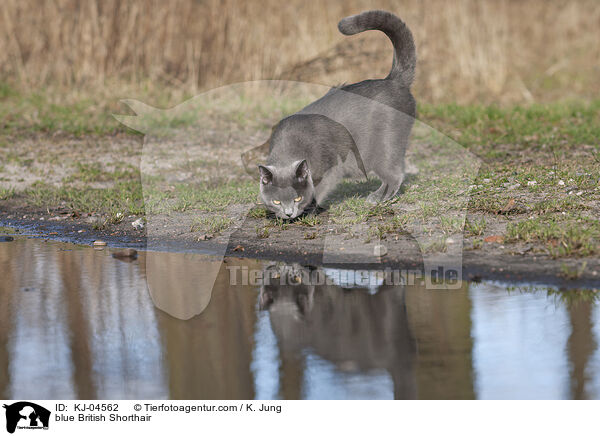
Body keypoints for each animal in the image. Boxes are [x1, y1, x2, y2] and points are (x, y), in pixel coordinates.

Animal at [258, 10, 418, 220]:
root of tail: (394, 80)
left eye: (297, 198)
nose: (289, 213)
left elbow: (319, 190)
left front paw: (308, 211)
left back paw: (376, 197)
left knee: (395, 175)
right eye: (276, 201)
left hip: (383, 148)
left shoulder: (332, 170)